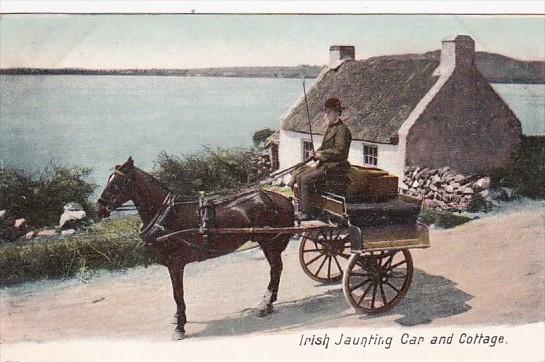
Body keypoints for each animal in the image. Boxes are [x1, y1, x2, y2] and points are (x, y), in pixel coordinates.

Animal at [95, 156, 296, 340]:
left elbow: (178, 294)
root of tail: (284, 199)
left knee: (275, 269)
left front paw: (180, 327)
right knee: (276, 269)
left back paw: (264, 304)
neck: (166, 215)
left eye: (117, 183)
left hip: (270, 243)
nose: (99, 208)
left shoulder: (175, 263)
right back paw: (270, 302)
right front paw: (178, 318)